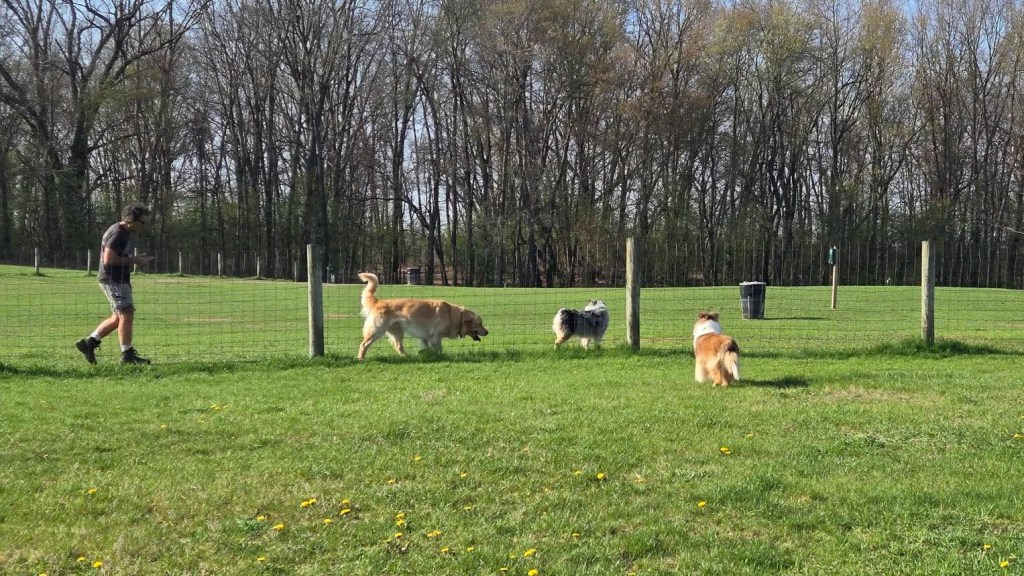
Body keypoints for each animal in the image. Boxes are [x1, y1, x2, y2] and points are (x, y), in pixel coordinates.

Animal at [357, 272, 488, 360]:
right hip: (376, 331)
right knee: (363, 344)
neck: (455, 316)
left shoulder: (426, 338)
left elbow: (427, 349)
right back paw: (360, 358)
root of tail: (378, 302)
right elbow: (439, 350)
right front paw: (441, 356)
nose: (487, 332)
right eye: (480, 324)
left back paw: (407, 357)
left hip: (398, 332)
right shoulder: (435, 337)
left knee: (399, 347)